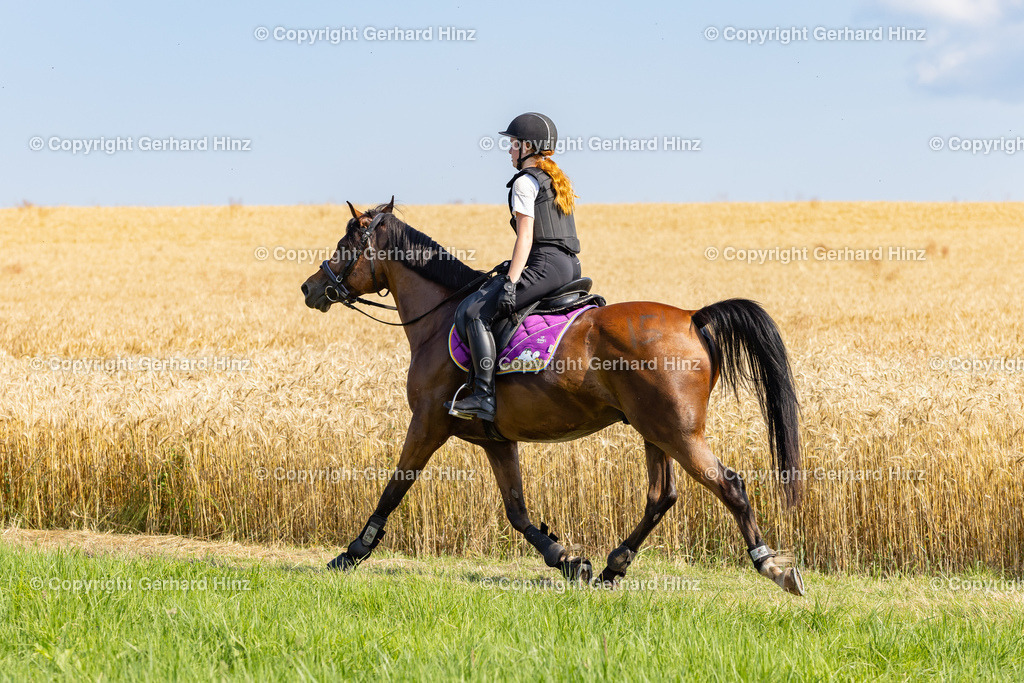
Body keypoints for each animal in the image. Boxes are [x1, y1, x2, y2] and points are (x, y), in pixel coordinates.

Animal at [299, 197, 802, 593]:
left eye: (345, 246)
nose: (310, 288)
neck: (438, 318)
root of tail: (694, 317)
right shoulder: (496, 440)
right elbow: (518, 511)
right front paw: (567, 561)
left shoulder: (427, 423)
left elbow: (394, 487)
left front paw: (352, 552)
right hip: (654, 430)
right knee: (661, 497)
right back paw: (613, 566)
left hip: (677, 432)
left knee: (728, 484)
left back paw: (772, 566)